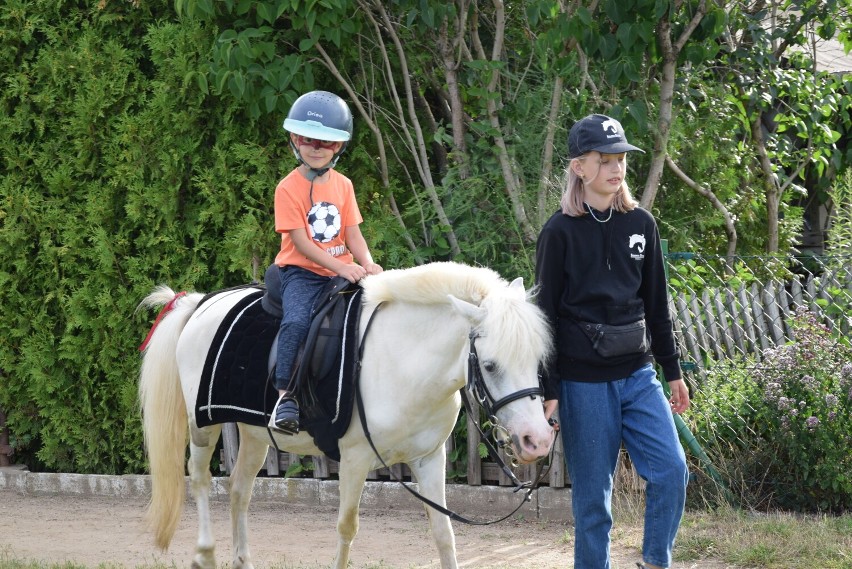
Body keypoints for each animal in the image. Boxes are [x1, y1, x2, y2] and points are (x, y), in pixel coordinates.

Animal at [137, 260, 556, 568]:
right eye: (489, 365)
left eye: (536, 358)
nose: (537, 440)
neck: (402, 358)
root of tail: (199, 304)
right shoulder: (354, 459)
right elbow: (346, 529)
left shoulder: (428, 458)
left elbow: (443, 532)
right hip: (201, 425)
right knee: (201, 479)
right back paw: (205, 554)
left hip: (254, 435)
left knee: (239, 489)